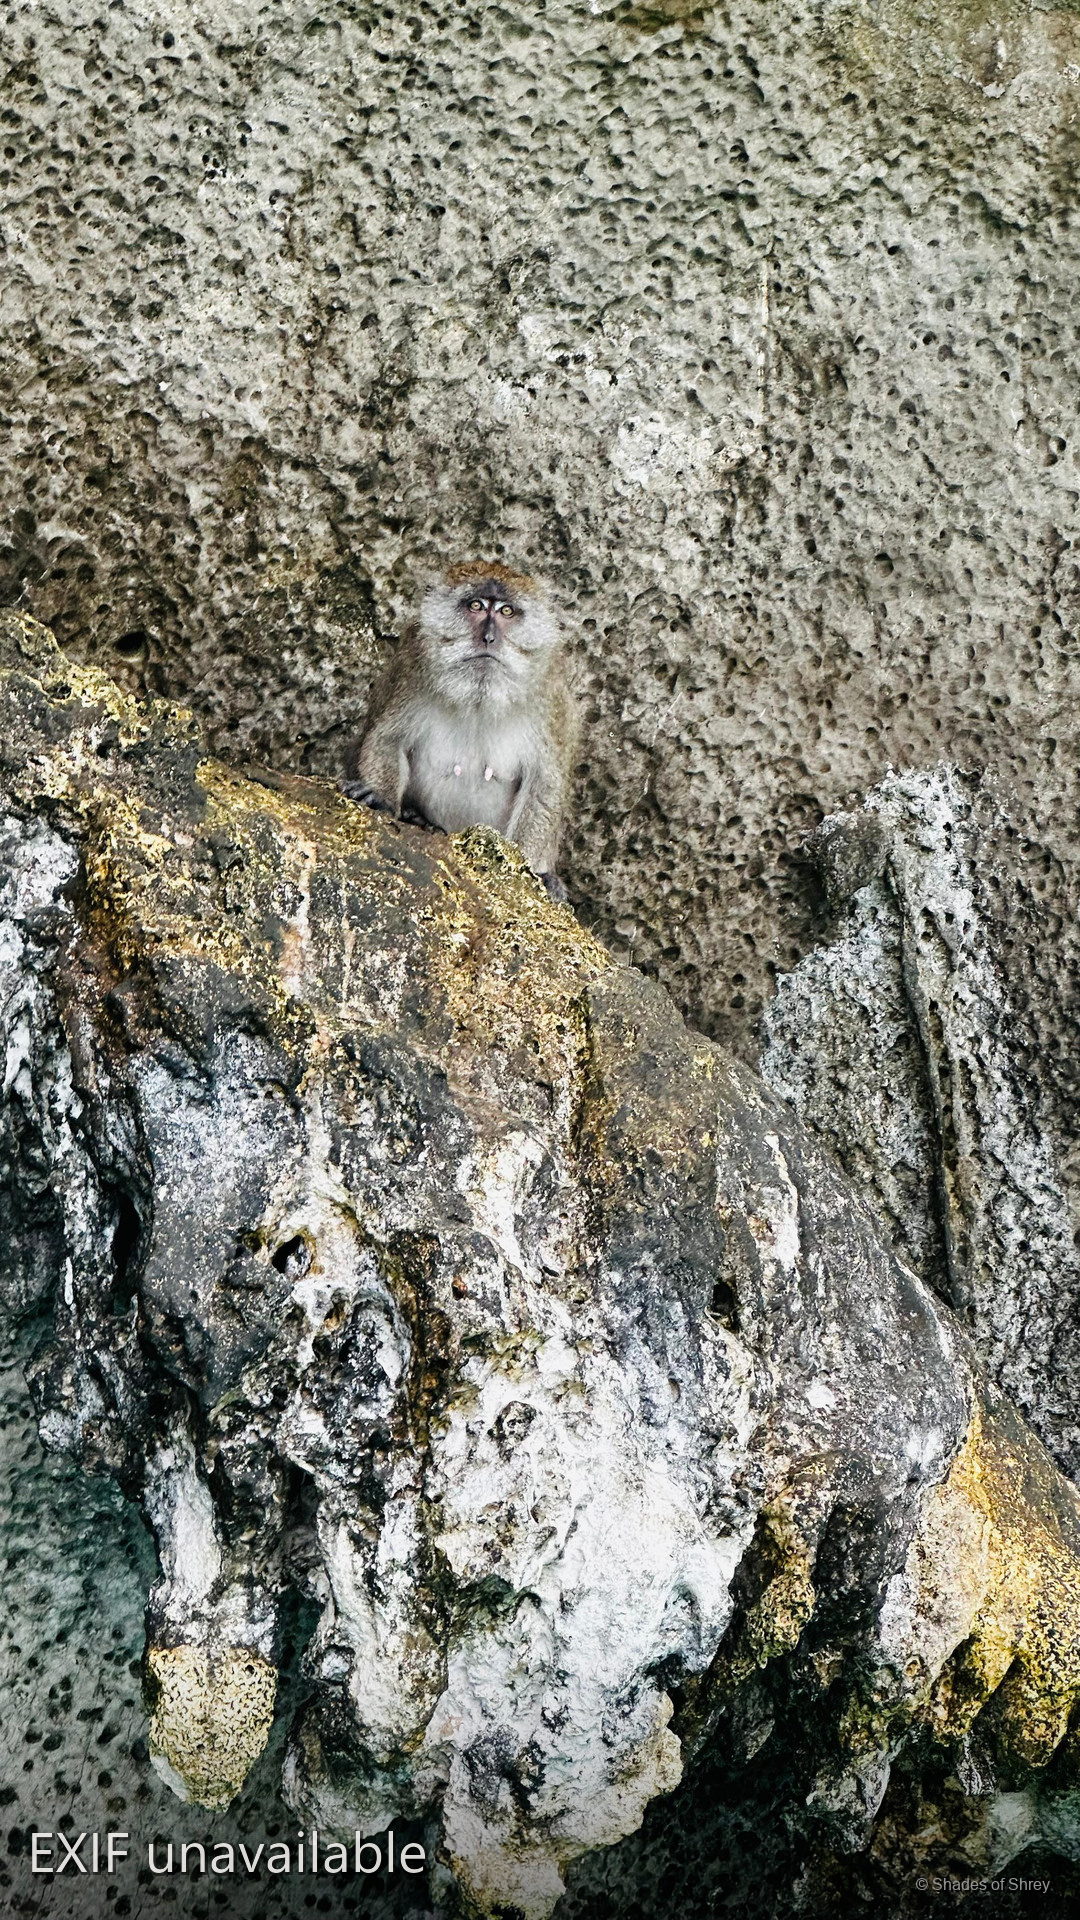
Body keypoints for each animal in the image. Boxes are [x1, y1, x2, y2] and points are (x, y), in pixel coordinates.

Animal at [342, 563, 578, 901]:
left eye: (506, 611)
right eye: (476, 606)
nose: (489, 638)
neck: (479, 698)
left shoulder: (550, 698)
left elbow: (544, 784)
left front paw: (539, 874)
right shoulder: (411, 668)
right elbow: (387, 739)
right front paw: (381, 799)